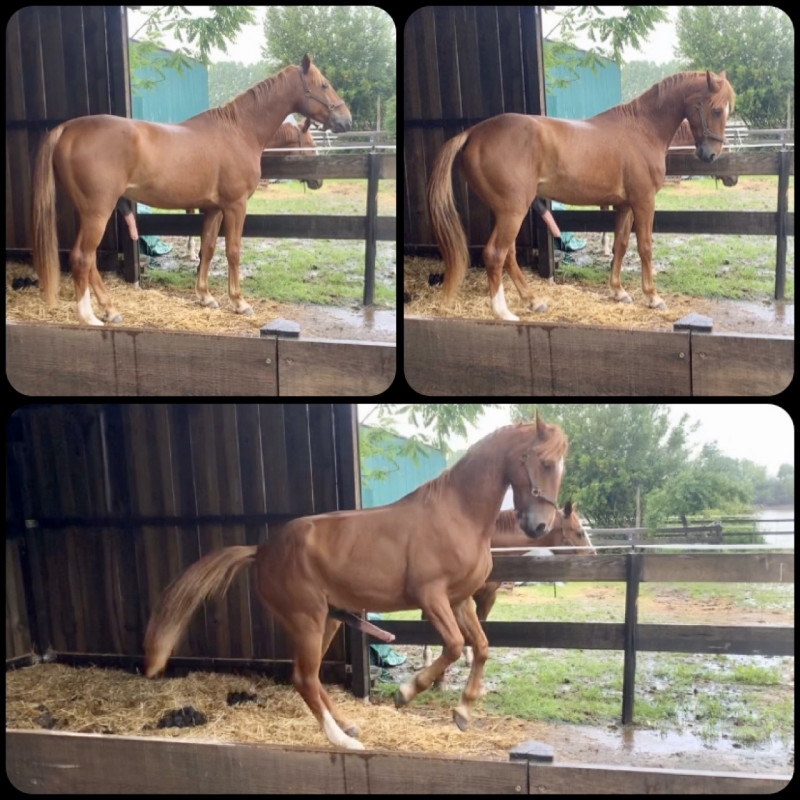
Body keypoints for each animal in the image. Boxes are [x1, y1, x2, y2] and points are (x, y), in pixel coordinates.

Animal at [143, 415, 568, 750]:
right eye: (545, 462)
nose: (539, 526)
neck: (456, 514)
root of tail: (261, 550)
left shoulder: (460, 599)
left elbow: (479, 647)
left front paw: (462, 711)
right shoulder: (431, 597)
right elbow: (452, 646)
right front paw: (405, 693)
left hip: (329, 620)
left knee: (311, 678)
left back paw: (347, 726)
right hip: (307, 620)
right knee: (303, 678)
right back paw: (343, 740)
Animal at [427, 70, 735, 320]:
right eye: (716, 110)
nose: (712, 154)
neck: (641, 130)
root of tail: (474, 132)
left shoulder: (624, 205)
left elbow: (620, 245)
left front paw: (618, 291)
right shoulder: (644, 201)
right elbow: (645, 247)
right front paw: (652, 297)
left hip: (507, 211)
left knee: (509, 255)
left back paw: (532, 301)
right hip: (512, 211)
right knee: (494, 254)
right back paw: (503, 312)